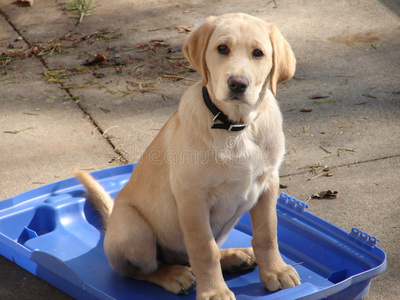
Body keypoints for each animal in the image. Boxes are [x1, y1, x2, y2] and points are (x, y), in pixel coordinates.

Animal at [75, 12, 300, 300]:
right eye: (222, 49)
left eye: (258, 53)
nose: (237, 83)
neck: (236, 126)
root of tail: (110, 225)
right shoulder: (193, 199)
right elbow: (204, 249)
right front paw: (214, 292)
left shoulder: (268, 184)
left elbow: (268, 233)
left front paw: (276, 271)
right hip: (134, 231)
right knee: (139, 269)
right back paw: (174, 275)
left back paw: (233, 256)